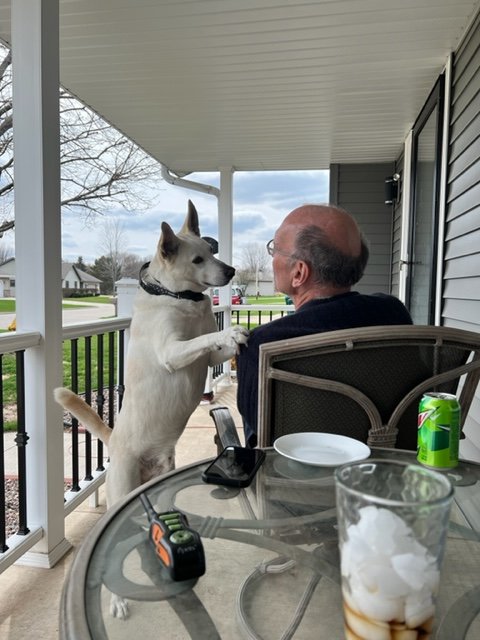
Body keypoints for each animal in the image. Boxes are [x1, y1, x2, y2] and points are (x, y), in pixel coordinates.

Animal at [54, 200, 248, 617]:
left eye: (211, 250)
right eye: (197, 258)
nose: (230, 271)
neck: (179, 297)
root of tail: (116, 442)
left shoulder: (209, 358)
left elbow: (214, 347)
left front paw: (238, 336)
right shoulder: (172, 353)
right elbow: (202, 339)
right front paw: (230, 330)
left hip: (162, 482)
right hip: (121, 487)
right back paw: (117, 603)